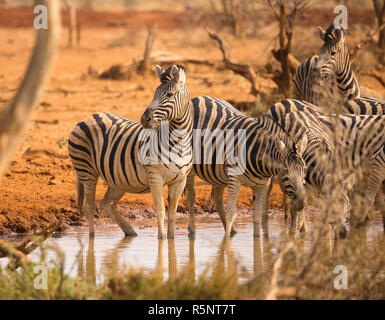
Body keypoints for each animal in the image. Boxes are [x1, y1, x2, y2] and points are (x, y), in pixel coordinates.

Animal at [68, 64, 192, 238]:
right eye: (154, 93)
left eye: (169, 94)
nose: (144, 119)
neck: (179, 143)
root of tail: (86, 118)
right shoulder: (155, 177)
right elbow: (160, 210)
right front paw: (161, 239)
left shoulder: (180, 181)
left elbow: (173, 213)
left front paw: (171, 239)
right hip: (86, 170)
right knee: (90, 206)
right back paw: (92, 237)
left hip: (117, 179)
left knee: (105, 203)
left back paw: (129, 231)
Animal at [184, 96, 308, 239]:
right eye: (286, 171)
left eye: (304, 170)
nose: (301, 204)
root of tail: (198, 98)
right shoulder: (234, 180)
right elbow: (231, 213)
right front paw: (226, 242)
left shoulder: (262, 186)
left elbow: (257, 217)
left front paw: (257, 240)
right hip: (191, 166)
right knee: (191, 195)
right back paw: (192, 230)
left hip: (218, 173)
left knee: (216, 197)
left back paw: (233, 231)